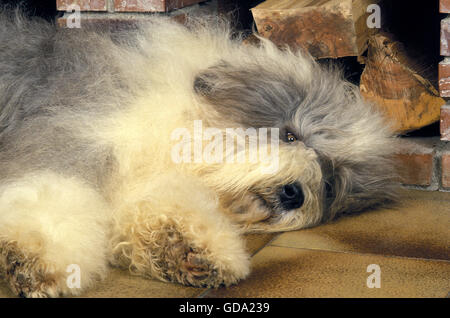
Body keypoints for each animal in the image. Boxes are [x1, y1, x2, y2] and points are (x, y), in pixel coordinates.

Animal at [0, 10, 398, 298]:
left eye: (329, 182)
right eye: (289, 134)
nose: (294, 194)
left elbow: (160, 207)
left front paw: (186, 245)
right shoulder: (69, 140)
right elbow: (51, 196)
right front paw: (33, 258)